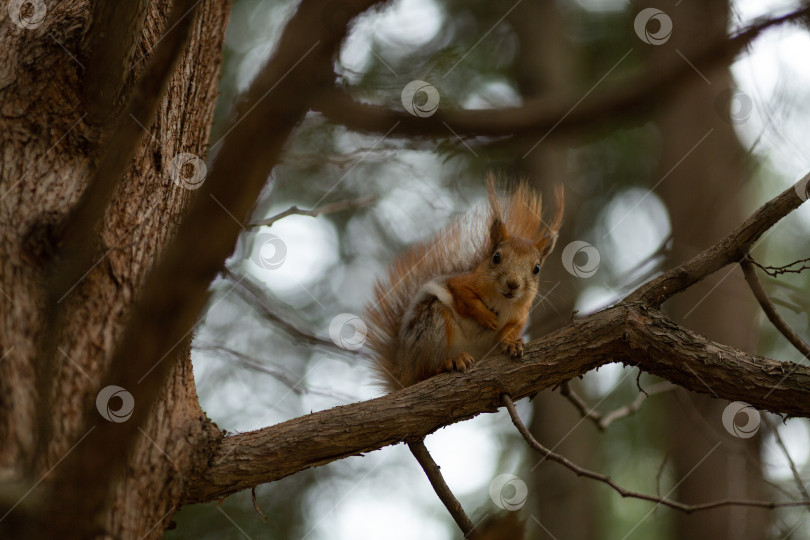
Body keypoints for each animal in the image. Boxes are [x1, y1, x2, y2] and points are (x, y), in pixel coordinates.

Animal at [366, 177, 560, 392]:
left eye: (537, 269)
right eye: (496, 257)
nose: (513, 284)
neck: (502, 301)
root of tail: (402, 374)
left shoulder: (520, 315)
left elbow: (510, 329)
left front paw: (511, 343)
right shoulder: (459, 282)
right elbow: (464, 297)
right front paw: (486, 316)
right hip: (432, 327)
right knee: (425, 372)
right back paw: (451, 362)